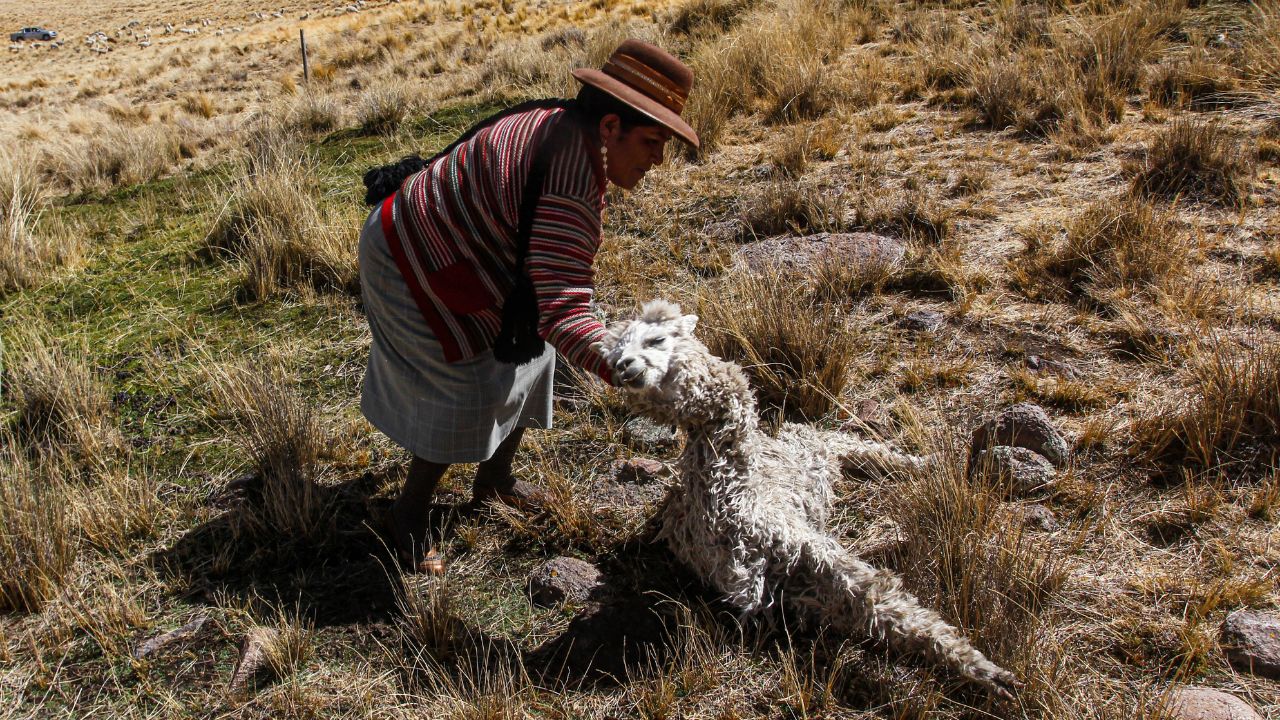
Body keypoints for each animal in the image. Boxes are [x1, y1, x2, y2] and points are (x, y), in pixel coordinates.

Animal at [593, 297, 1024, 696]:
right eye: (614, 360)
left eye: (657, 339)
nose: (626, 367)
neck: (732, 488)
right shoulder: (795, 579)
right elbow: (880, 608)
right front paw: (988, 674)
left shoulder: (809, 551)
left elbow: (888, 603)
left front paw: (990, 673)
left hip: (809, 453)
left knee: (841, 441)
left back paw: (922, 464)